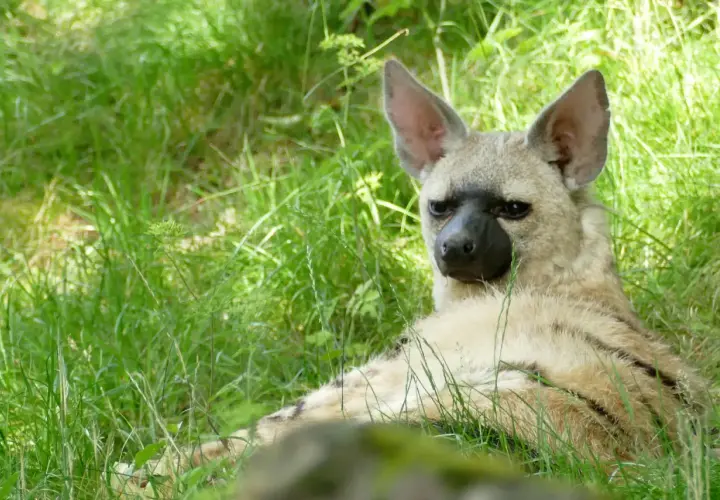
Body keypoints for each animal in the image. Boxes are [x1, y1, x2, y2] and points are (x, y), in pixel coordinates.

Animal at [110, 59, 708, 497]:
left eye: (513, 208)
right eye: (439, 207)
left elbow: (235, 435)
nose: (455, 247)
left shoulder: (388, 370)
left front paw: (139, 471)